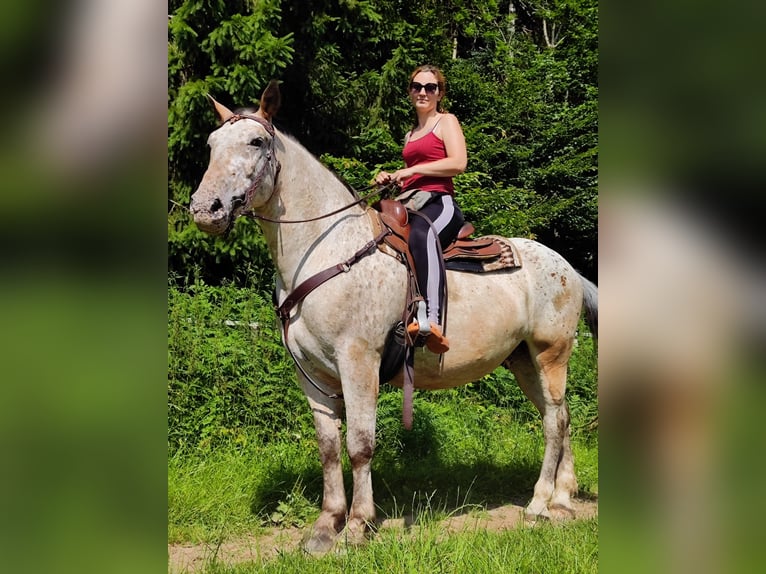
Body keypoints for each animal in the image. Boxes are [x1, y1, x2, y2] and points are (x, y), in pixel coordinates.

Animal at [190, 82, 598, 554]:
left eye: (256, 142)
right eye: (211, 145)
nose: (205, 209)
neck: (326, 250)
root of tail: (567, 267)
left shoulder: (358, 362)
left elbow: (359, 445)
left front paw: (356, 527)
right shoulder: (311, 374)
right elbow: (328, 448)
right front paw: (324, 528)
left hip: (551, 353)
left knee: (553, 421)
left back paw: (538, 504)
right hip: (523, 361)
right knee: (561, 416)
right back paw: (562, 499)